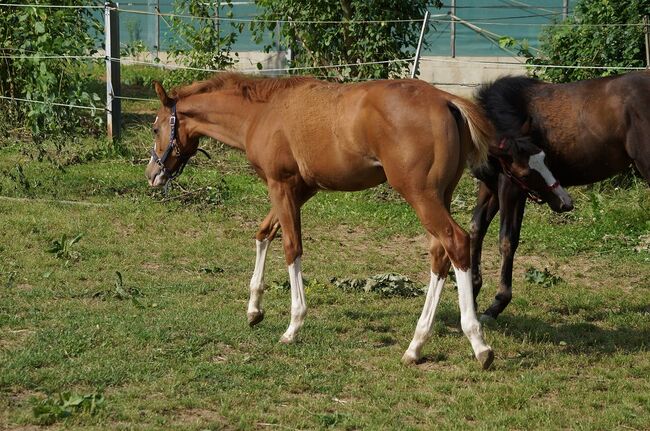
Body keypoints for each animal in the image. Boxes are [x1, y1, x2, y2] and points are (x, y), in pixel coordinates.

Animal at [144, 72, 494, 370]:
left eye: (155, 127)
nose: (152, 175)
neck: (263, 113)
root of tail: (446, 100)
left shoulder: (281, 185)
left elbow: (291, 247)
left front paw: (293, 325)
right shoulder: (300, 189)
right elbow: (263, 233)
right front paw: (254, 309)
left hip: (420, 194)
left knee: (456, 243)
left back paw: (478, 343)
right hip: (440, 195)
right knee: (440, 255)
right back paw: (416, 346)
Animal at [468, 71, 648, 320]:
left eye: (543, 159)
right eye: (529, 170)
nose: (566, 202)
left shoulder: (512, 187)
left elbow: (507, 239)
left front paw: (497, 304)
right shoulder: (491, 185)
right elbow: (476, 228)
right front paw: (472, 293)